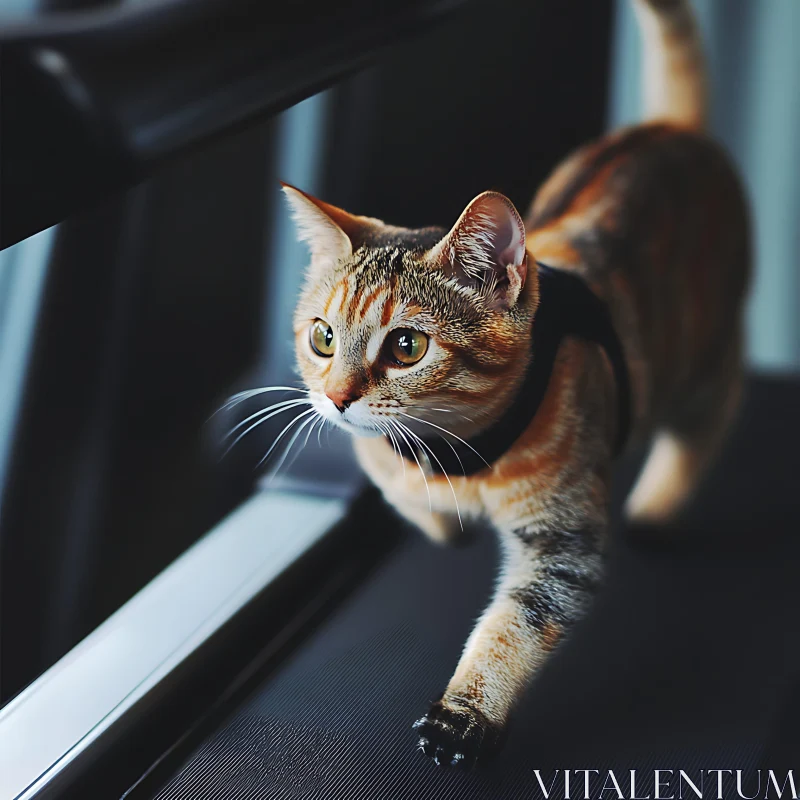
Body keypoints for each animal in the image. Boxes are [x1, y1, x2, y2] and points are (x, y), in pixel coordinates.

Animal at [276, 0, 752, 772]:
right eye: (321, 337)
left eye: (406, 346)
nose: (338, 397)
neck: (456, 451)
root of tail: (672, 129)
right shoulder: (381, 457)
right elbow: (397, 488)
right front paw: (436, 519)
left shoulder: (566, 537)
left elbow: (518, 623)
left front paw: (466, 713)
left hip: (704, 361)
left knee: (717, 406)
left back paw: (659, 503)